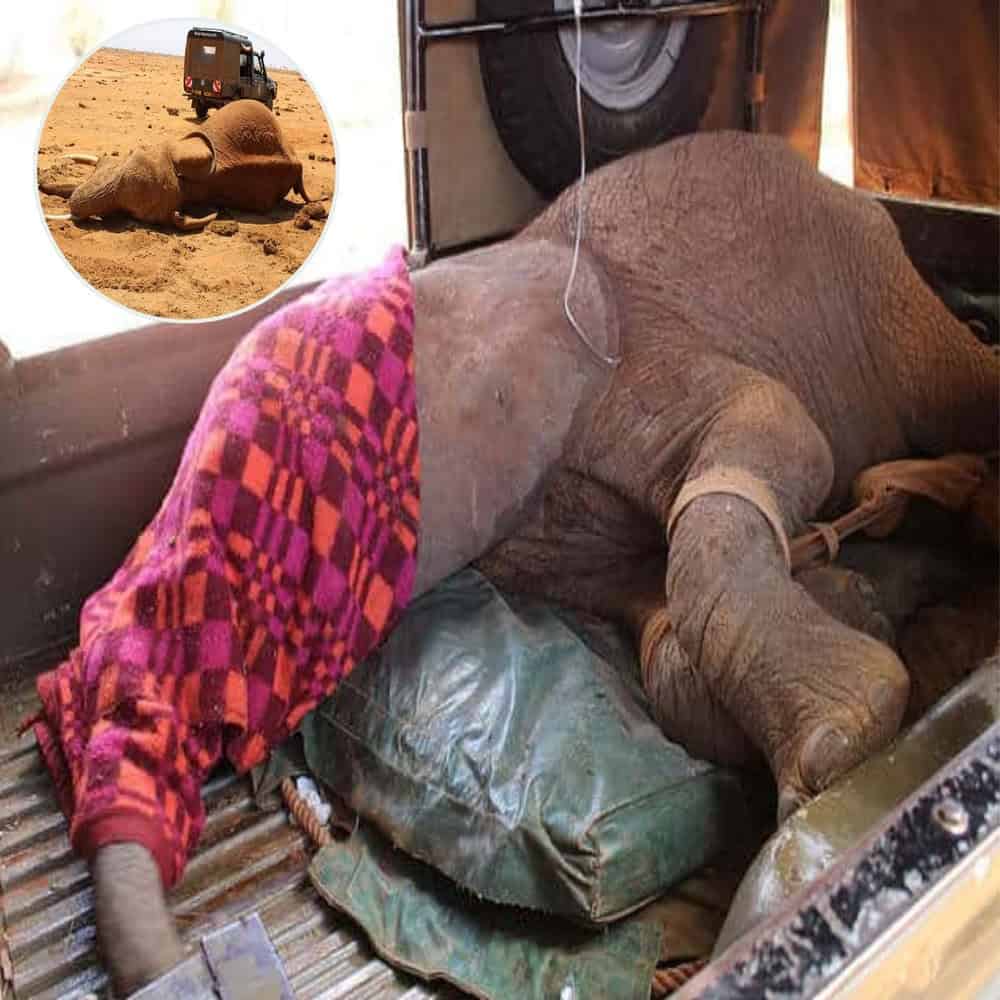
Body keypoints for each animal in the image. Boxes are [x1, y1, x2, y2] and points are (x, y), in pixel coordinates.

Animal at [74, 129, 996, 993]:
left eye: (288, 504)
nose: (188, 968)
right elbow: (648, 612)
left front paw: (843, 742)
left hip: (885, 296)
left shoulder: (629, 362)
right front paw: (838, 623)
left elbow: (783, 431)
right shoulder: (532, 523)